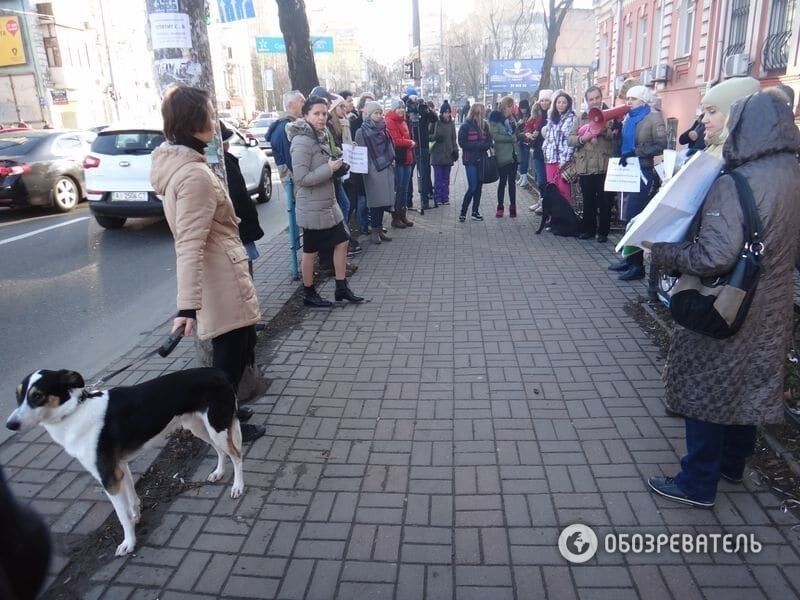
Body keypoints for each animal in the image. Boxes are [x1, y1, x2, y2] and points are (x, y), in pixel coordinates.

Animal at [6, 368, 244, 556]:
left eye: (37, 396)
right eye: (18, 396)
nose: (10, 425)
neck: (74, 412)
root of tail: (218, 371)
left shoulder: (108, 478)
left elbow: (121, 515)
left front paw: (128, 543)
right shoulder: (120, 466)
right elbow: (132, 500)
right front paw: (136, 517)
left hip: (217, 426)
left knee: (236, 454)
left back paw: (238, 487)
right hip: (199, 427)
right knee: (220, 451)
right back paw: (219, 472)